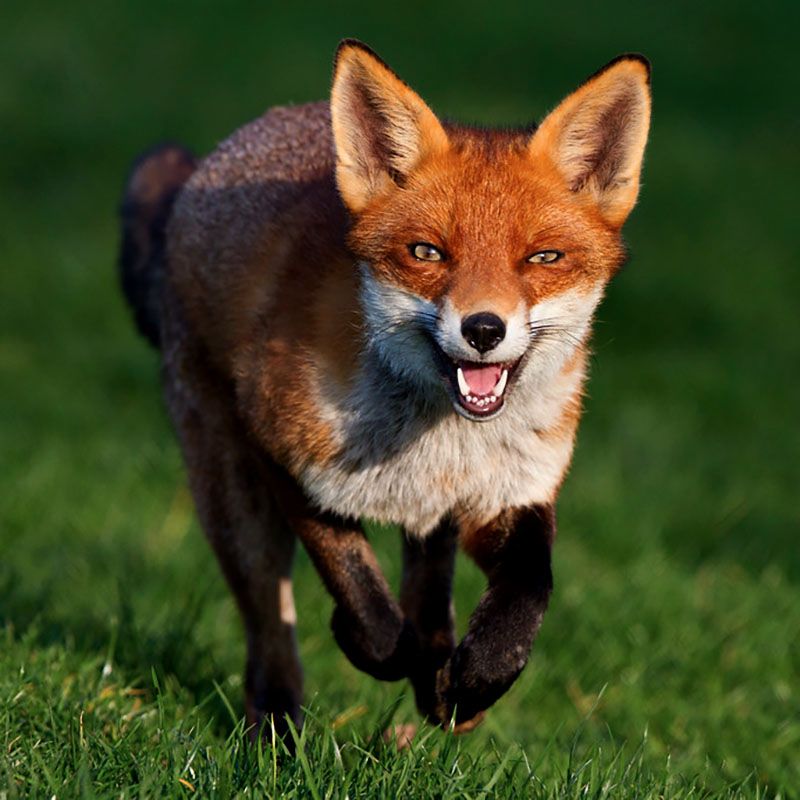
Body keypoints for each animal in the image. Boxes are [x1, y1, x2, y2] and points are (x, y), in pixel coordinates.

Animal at [119, 40, 651, 739]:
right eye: (426, 252)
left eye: (543, 259)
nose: (484, 329)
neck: (439, 441)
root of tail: (223, 154)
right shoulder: (286, 458)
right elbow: (362, 596)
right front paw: (367, 643)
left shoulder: (513, 492)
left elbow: (528, 592)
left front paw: (476, 681)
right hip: (231, 498)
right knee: (268, 623)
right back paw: (277, 724)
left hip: (427, 519)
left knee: (429, 585)